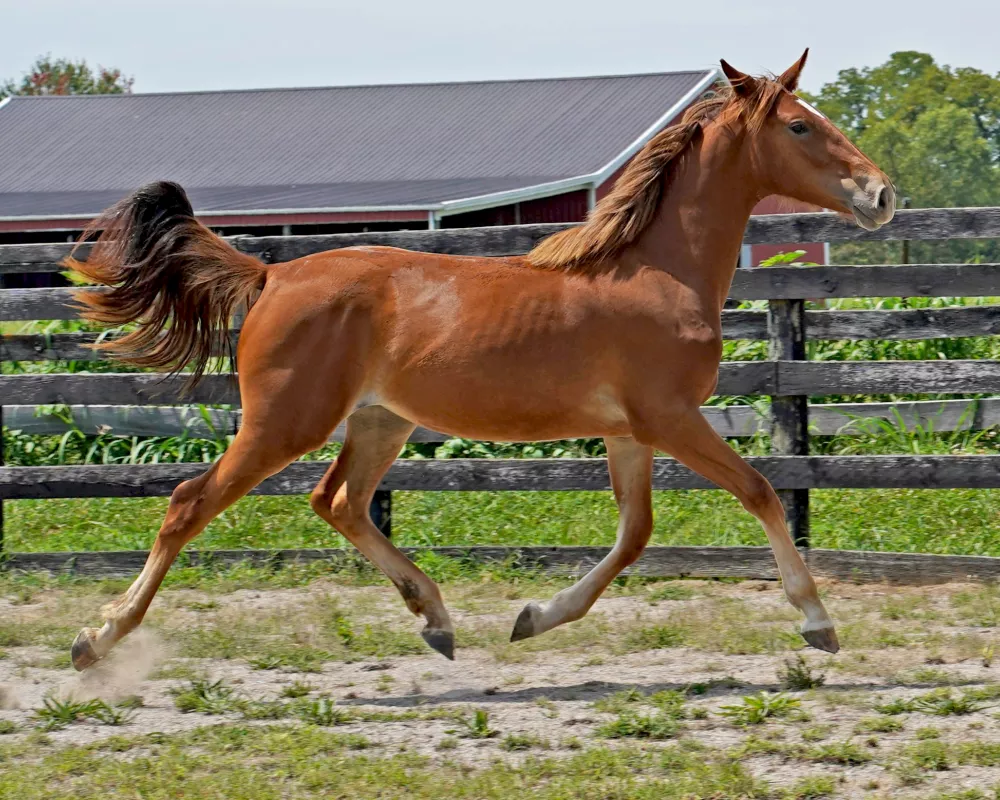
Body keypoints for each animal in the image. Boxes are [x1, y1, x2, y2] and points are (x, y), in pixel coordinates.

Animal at [70, 53, 900, 672]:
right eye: (800, 124)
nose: (882, 194)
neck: (657, 271)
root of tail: (272, 276)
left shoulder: (629, 431)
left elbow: (635, 533)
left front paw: (534, 616)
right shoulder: (670, 417)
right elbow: (759, 490)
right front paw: (817, 621)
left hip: (379, 423)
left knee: (338, 502)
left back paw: (436, 618)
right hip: (284, 422)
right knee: (189, 503)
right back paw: (97, 638)